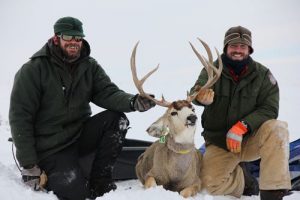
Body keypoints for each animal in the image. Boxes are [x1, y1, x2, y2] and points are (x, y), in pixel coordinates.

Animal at [132, 38, 221, 197]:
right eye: (173, 113)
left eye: (193, 108)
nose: (192, 118)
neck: (175, 175)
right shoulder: (151, 174)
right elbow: (151, 184)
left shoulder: (196, 181)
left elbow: (185, 193)